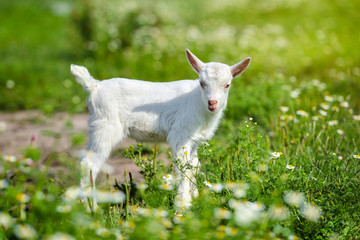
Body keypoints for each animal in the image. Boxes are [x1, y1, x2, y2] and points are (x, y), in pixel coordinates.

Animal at [70, 49, 250, 207]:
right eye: (202, 83)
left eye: (227, 85)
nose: (212, 103)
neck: (197, 102)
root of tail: (95, 87)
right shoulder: (180, 134)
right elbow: (183, 169)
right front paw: (183, 205)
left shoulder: (195, 140)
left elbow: (194, 166)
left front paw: (196, 197)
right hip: (105, 126)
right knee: (89, 164)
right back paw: (91, 208)